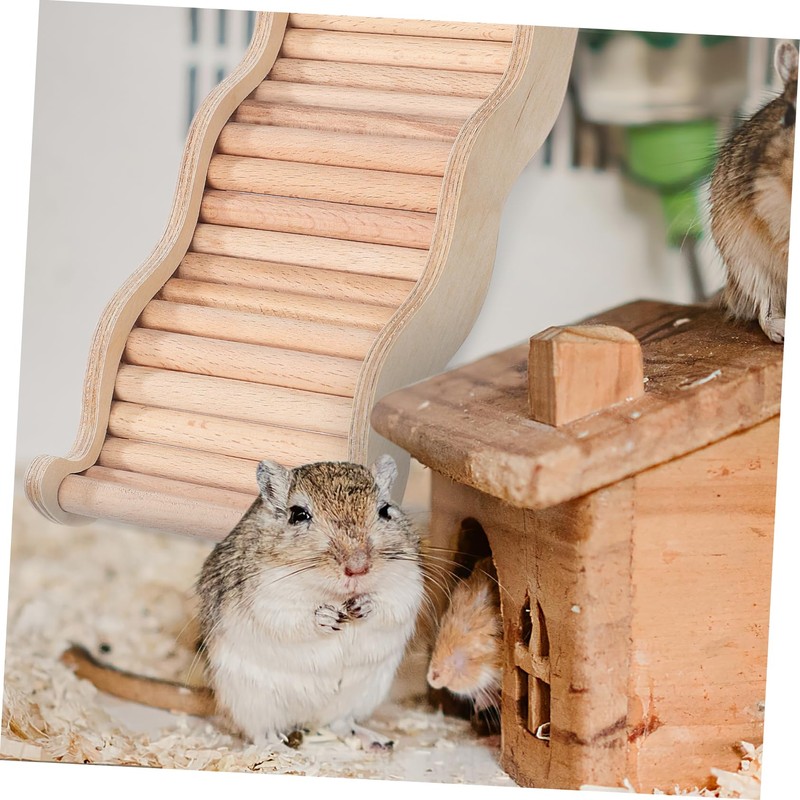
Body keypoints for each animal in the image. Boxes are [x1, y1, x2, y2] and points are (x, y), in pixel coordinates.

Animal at [60, 456, 424, 751]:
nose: (358, 567)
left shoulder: (408, 580)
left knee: (341, 724)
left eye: (385, 510)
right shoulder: (266, 596)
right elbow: (292, 617)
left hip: (362, 693)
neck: (335, 593)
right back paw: (274, 748)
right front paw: (327, 616)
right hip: (253, 700)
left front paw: (364, 606)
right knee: (260, 732)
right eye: (299, 514)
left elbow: (392, 604)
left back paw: (377, 741)